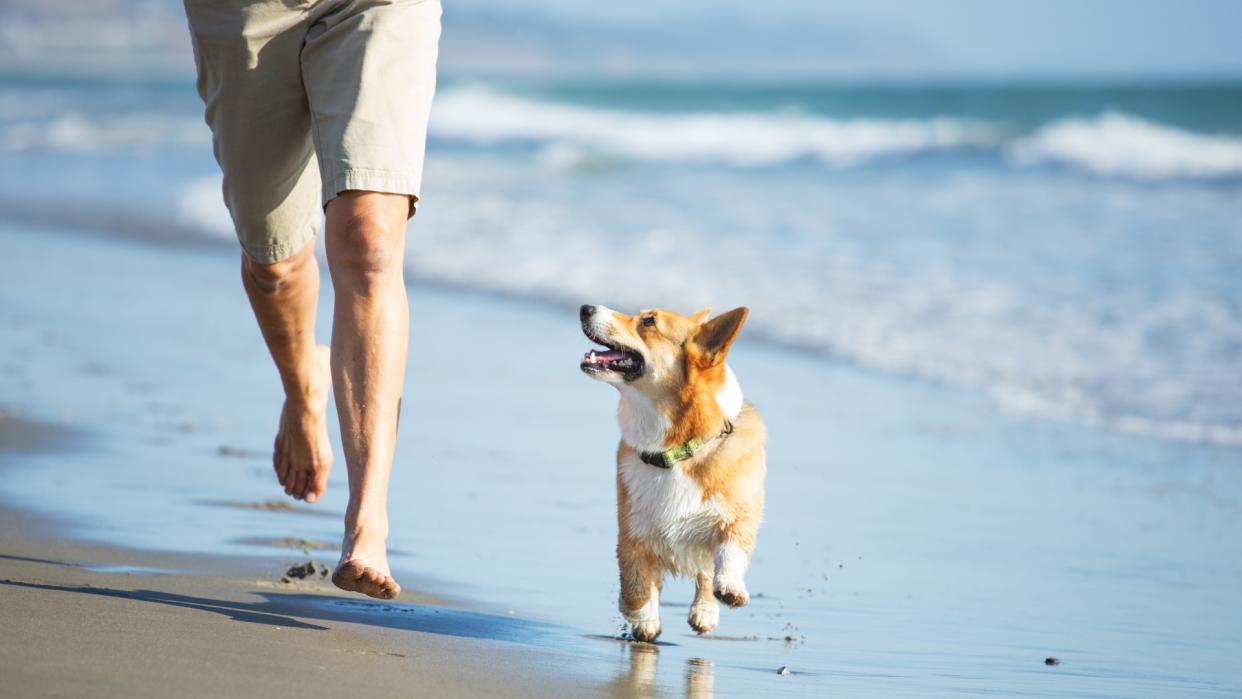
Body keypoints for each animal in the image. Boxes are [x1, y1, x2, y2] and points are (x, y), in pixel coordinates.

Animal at [576, 304, 760, 640]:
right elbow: (635, 586)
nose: (585, 308)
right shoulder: (633, 531)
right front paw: (642, 616)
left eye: (649, 321)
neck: (675, 452)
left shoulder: (737, 516)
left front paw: (727, 592)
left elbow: (726, 555)